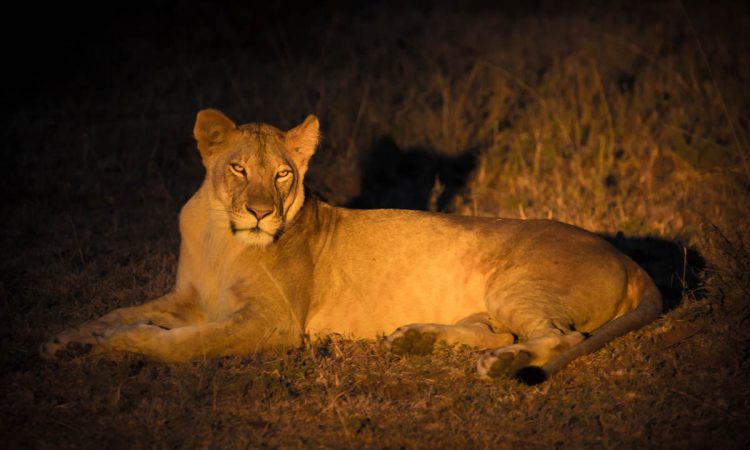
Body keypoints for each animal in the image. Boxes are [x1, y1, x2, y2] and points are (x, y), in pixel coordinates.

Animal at [41, 109, 662, 384]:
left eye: (283, 175)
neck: (223, 238)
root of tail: (627, 257)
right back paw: (415, 341)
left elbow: (186, 343)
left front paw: (123, 347)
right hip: (493, 303)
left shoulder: (273, 324)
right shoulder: (188, 298)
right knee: (502, 331)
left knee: (560, 338)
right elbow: (118, 310)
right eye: (239, 169)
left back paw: (499, 365)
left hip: (516, 286)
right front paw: (66, 341)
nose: (261, 211)